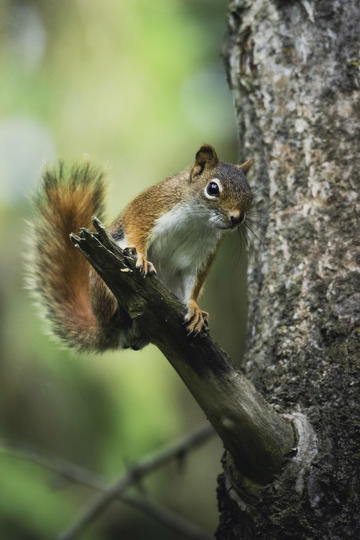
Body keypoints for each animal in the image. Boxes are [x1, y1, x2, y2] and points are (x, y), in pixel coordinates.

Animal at [29, 146, 252, 352]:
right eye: (213, 188)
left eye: (250, 194)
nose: (236, 218)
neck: (199, 221)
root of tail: (105, 328)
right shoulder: (151, 205)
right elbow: (136, 228)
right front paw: (142, 260)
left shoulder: (204, 253)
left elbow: (194, 281)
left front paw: (195, 308)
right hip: (104, 284)